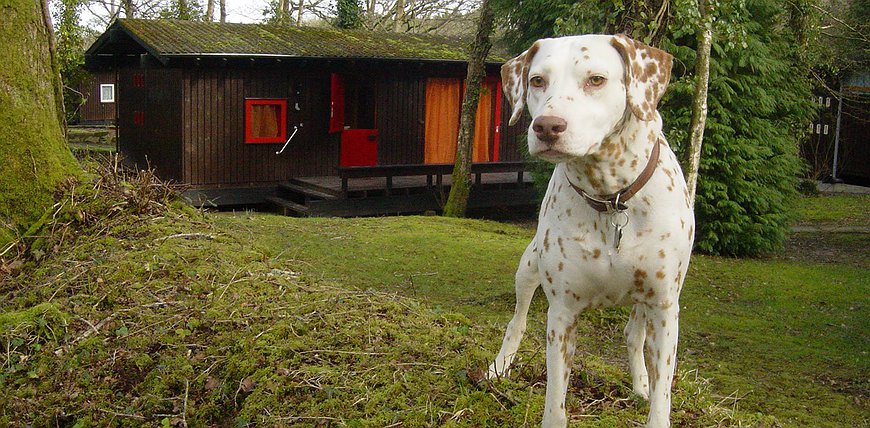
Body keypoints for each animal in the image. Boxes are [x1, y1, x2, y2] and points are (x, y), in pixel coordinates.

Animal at [490, 34, 696, 428]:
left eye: (596, 80)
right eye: (537, 80)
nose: (547, 126)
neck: (610, 198)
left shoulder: (664, 306)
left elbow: (662, 391)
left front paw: (650, 392)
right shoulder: (562, 313)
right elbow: (556, 400)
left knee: (633, 335)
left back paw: (640, 384)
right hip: (528, 267)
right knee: (516, 320)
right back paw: (498, 366)